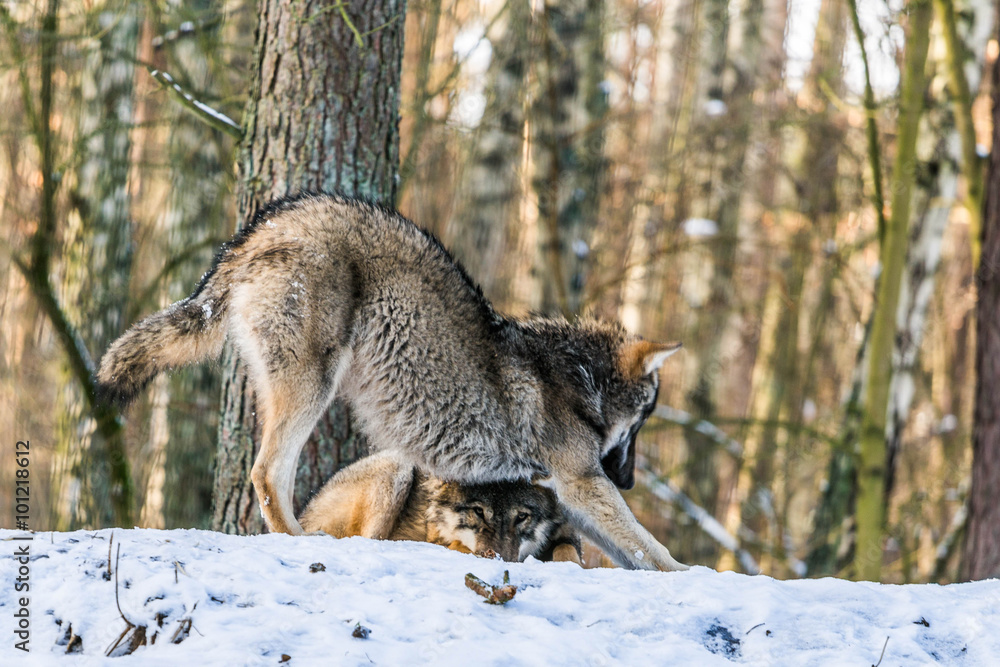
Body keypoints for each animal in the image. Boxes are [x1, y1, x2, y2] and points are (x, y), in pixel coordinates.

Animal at [299, 450, 583, 564]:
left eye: (522, 516)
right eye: (478, 511)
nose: (501, 559)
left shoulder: (569, 537)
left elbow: (568, 552)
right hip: (396, 469)